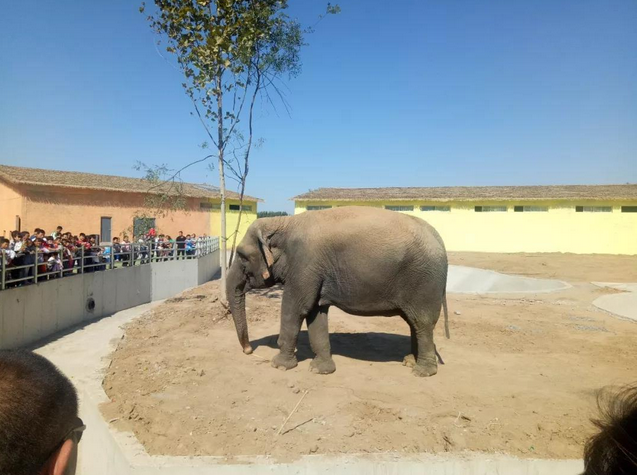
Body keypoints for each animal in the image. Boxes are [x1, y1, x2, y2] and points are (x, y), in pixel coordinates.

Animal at [226, 206, 450, 378]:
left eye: (242, 256)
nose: (248, 350)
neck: (284, 222)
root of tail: (439, 238)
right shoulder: (314, 271)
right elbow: (315, 313)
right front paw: (321, 370)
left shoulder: (305, 264)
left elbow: (295, 308)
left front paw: (279, 365)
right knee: (414, 323)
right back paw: (410, 361)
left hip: (424, 281)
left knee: (422, 322)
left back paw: (422, 372)